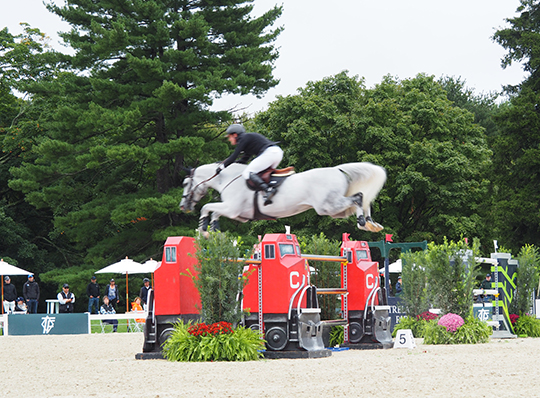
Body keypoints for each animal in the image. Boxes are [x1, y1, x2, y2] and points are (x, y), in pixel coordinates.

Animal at [179, 162, 386, 235]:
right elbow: (214, 212)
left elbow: (207, 207)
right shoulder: (236, 214)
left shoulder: (232, 208)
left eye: (185, 183)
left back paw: (363, 223)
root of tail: (336, 169)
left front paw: (203, 229)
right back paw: (371, 223)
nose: (182, 206)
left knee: (358, 197)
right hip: (335, 210)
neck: (227, 178)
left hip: (328, 206)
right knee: (362, 199)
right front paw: (213, 230)